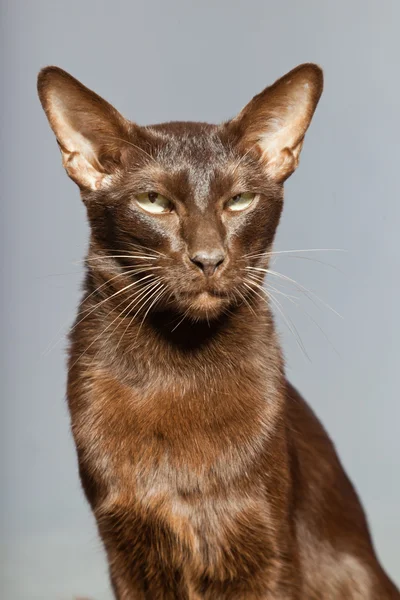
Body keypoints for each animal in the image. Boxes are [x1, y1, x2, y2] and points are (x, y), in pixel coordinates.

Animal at [38, 63, 400, 596]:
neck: (180, 362)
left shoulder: (265, 547)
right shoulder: (126, 549)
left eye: (240, 200)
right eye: (153, 201)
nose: (208, 259)